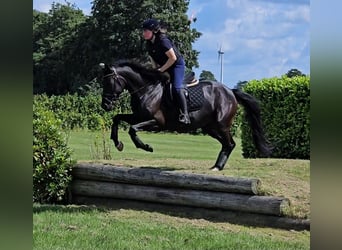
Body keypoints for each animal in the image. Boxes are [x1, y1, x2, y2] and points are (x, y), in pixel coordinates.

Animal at [100, 60, 272, 171]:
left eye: (108, 82)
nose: (105, 105)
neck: (147, 90)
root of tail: (231, 91)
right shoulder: (139, 116)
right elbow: (117, 118)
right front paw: (117, 143)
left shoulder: (157, 122)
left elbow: (132, 129)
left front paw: (146, 147)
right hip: (210, 127)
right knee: (226, 144)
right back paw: (216, 166)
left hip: (222, 124)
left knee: (230, 143)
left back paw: (218, 167)